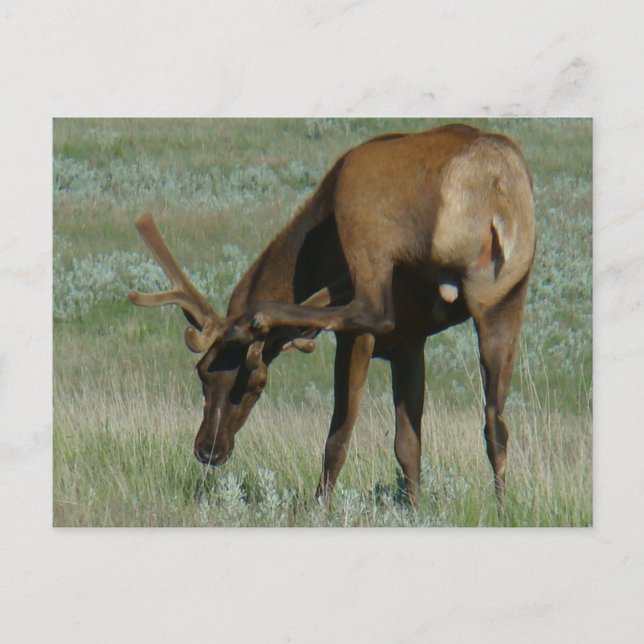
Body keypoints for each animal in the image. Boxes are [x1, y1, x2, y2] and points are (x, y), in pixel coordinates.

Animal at [128, 124, 536, 508]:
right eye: (202, 372)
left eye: (257, 384)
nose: (210, 449)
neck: (316, 257)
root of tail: (494, 185)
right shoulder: (410, 342)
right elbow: (408, 445)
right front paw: (415, 510)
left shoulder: (361, 338)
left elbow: (338, 439)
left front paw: (320, 508)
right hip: (505, 295)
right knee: (496, 424)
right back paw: (502, 509)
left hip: (362, 207)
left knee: (373, 309)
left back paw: (260, 317)